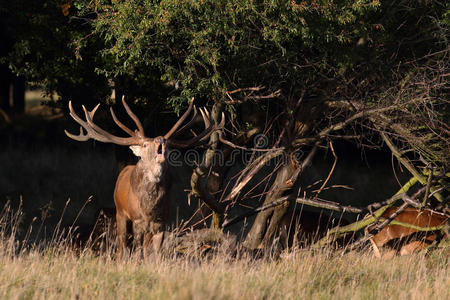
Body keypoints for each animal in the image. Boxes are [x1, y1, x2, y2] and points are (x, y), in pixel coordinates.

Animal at [65, 98, 223, 258]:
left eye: (168, 144)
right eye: (146, 144)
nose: (161, 139)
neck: (149, 209)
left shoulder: (161, 223)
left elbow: (155, 253)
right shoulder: (137, 221)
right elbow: (137, 251)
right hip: (120, 213)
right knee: (121, 246)